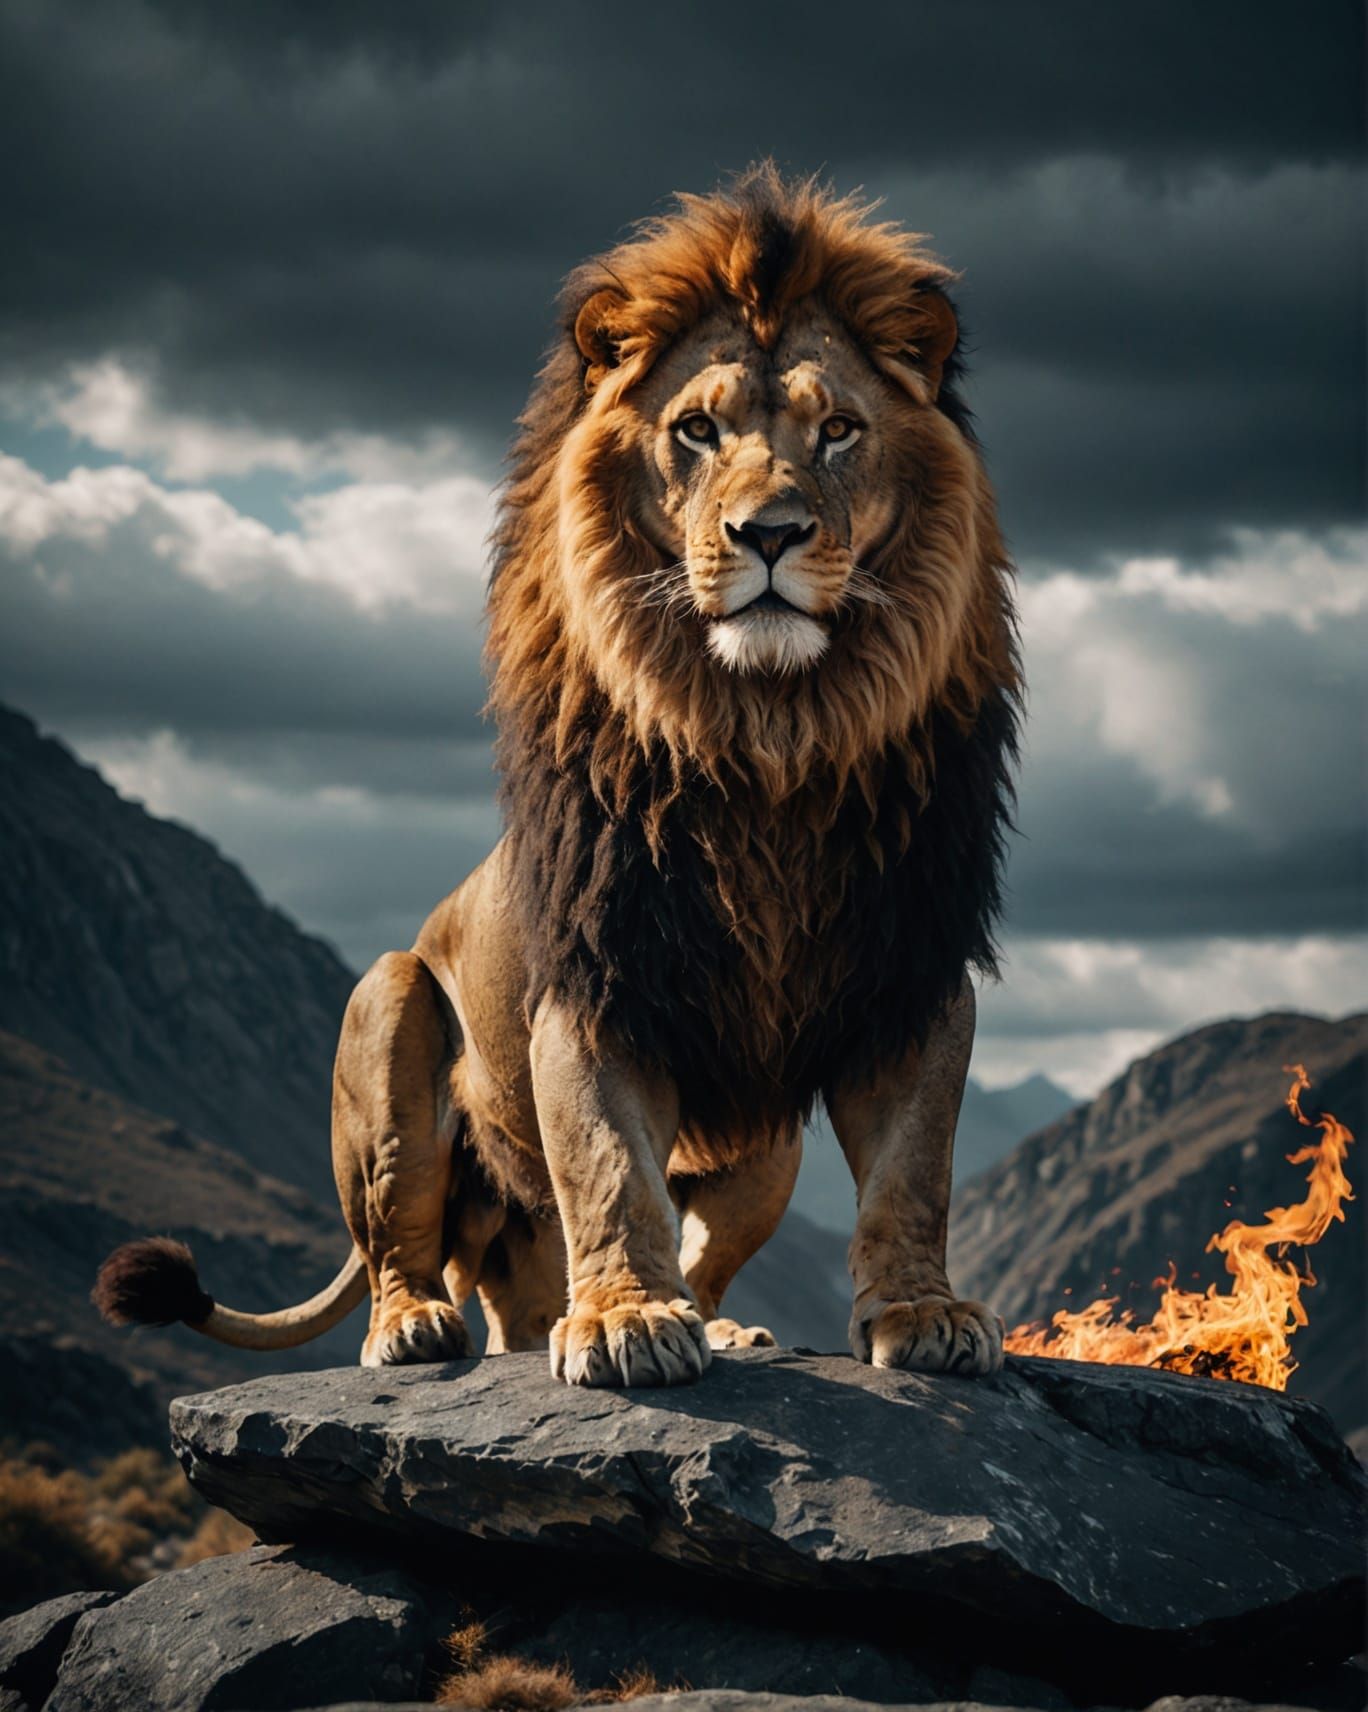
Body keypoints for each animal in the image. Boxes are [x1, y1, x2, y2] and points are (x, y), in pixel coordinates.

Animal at [95, 165, 1020, 1387]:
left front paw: (922, 1311)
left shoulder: (914, 968)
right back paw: (413, 1329)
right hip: (389, 1011)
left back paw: (714, 1324)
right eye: (696, 429)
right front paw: (626, 1321)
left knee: (625, 1271)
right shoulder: (595, 978)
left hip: (761, 1145)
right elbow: (606, 1162)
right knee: (412, 1246)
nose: (768, 532)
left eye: (838, 430)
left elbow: (914, 1169)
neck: (769, 732)